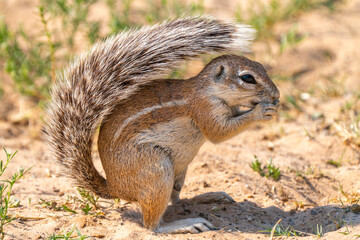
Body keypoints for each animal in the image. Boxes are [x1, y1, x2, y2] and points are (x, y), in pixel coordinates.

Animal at [43, 15, 280, 233]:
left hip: (179, 171)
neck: (209, 89)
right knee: (152, 225)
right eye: (247, 78)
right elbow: (218, 133)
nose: (276, 95)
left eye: (261, 66)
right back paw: (185, 224)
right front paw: (261, 111)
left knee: (177, 200)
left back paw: (208, 197)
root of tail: (115, 188)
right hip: (156, 169)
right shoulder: (205, 110)